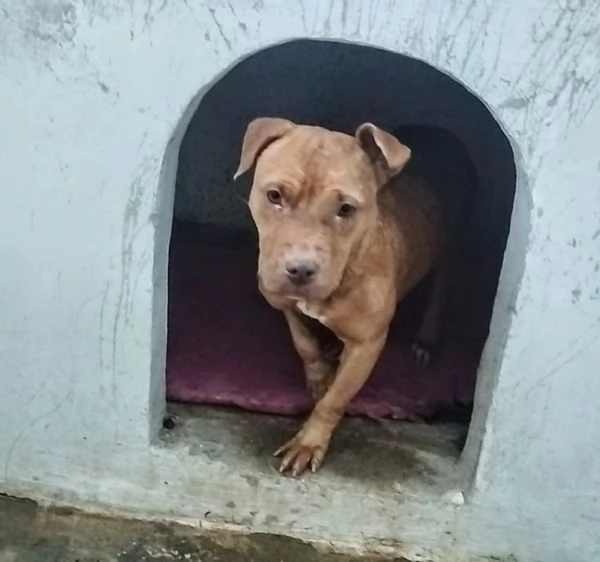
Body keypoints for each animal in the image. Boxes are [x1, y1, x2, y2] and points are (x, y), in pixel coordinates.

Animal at [234, 117, 464, 472]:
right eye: (274, 195)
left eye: (346, 208)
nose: (300, 269)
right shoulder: (286, 304)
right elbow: (304, 344)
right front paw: (318, 376)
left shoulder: (366, 345)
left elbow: (335, 400)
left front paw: (308, 442)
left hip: (449, 248)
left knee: (440, 290)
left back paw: (425, 339)